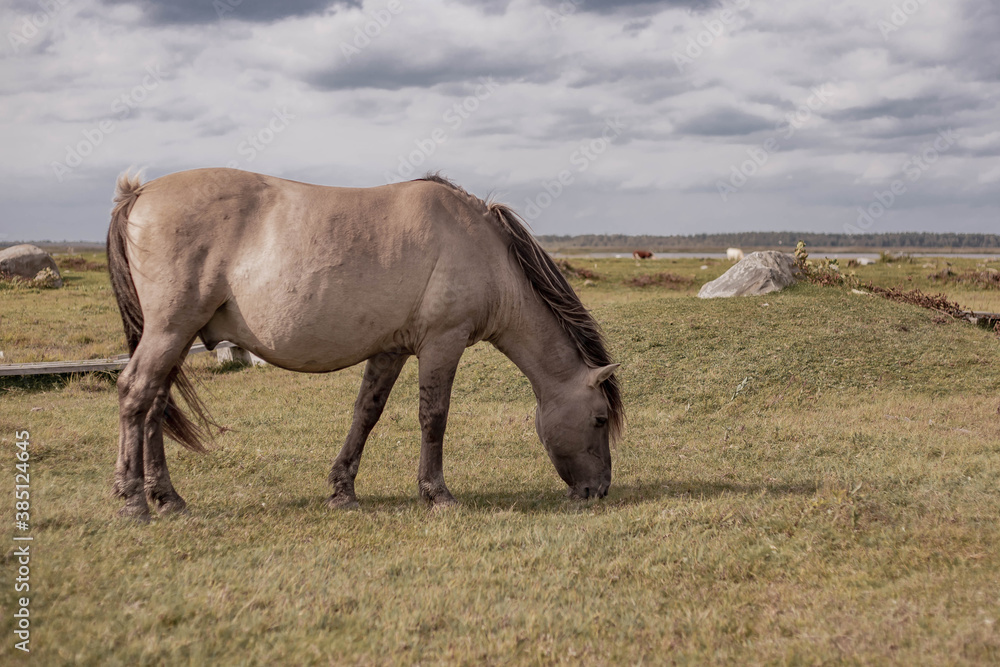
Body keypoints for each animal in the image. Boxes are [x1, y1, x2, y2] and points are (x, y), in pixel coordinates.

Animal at [107, 169, 623, 519]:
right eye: (600, 419)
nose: (598, 490)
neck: (483, 248)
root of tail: (138, 194)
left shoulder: (391, 350)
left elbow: (366, 414)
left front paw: (342, 490)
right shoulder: (443, 343)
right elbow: (433, 417)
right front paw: (436, 493)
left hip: (175, 339)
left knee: (154, 404)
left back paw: (166, 498)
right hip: (170, 331)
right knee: (136, 394)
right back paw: (134, 499)